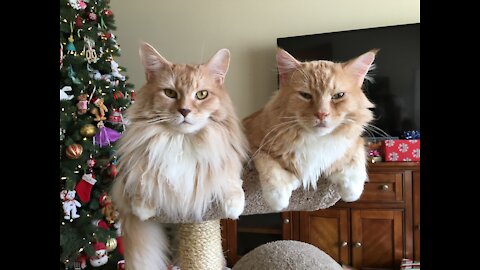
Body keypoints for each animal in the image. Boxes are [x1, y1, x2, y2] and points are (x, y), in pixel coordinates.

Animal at [111, 42, 248, 268]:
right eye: (169, 93)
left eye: (201, 95)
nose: (185, 111)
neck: (181, 141)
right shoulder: (127, 177)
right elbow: (143, 183)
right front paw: (143, 207)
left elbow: (230, 181)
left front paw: (234, 206)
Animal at [246, 49, 376, 213]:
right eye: (305, 95)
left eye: (338, 96)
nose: (322, 114)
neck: (315, 139)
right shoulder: (253, 143)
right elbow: (271, 169)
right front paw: (279, 198)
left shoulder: (355, 141)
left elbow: (355, 163)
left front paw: (351, 191)